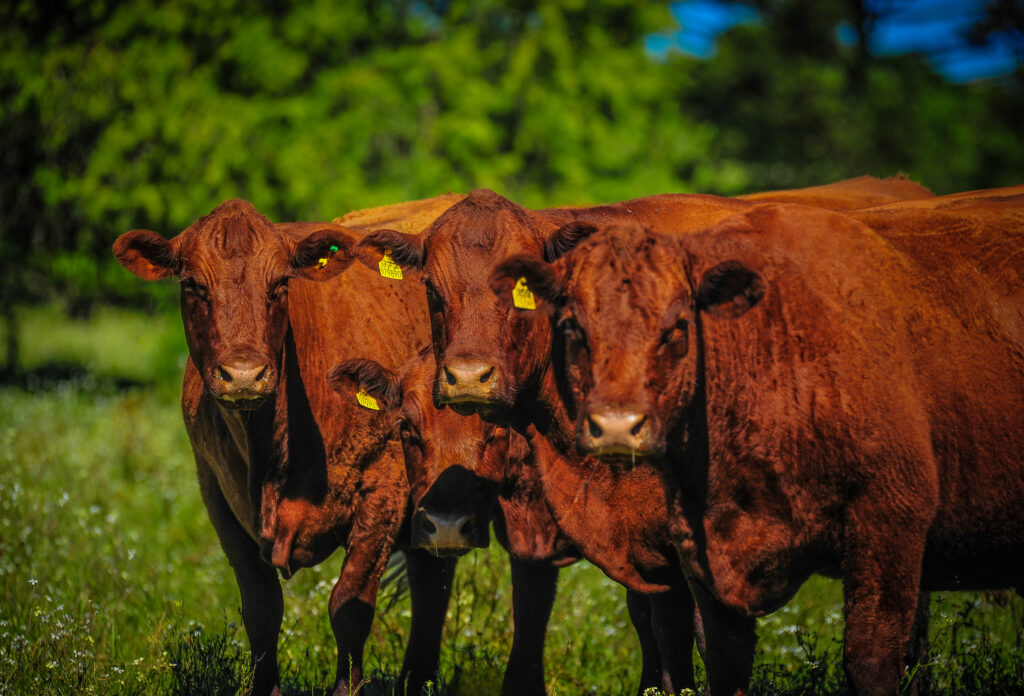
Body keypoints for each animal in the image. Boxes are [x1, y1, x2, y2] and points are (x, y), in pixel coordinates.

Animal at [111, 197, 456, 696]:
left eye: (279, 284)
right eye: (194, 284)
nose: (243, 375)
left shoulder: (384, 490)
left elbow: (349, 606)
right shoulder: (217, 493)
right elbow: (261, 608)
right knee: (432, 580)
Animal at [491, 187, 1019, 691]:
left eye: (678, 327)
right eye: (572, 326)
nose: (617, 423)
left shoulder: (891, 525)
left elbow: (872, 658)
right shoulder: (697, 549)